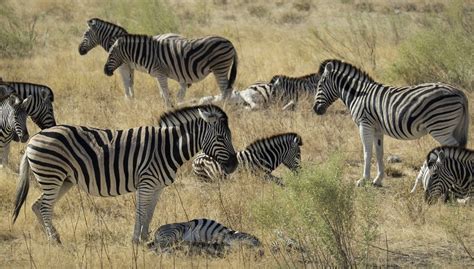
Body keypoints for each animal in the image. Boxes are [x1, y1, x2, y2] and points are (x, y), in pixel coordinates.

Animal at [12, 104, 237, 243]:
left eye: (230, 136)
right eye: (220, 137)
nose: (234, 165)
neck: (167, 148)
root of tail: (34, 139)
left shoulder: (157, 187)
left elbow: (149, 212)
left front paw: (145, 237)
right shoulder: (146, 182)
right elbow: (141, 211)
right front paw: (136, 240)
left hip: (63, 180)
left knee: (37, 205)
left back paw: (53, 237)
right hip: (52, 176)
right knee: (44, 207)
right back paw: (54, 239)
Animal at [103, 34, 237, 107]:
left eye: (110, 54)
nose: (105, 71)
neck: (147, 54)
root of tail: (230, 43)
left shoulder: (160, 73)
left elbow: (165, 92)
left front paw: (168, 107)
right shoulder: (158, 75)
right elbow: (163, 93)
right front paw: (167, 106)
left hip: (219, 67)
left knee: (225, 90)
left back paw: (225, 107)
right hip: (221, 68)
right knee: (228, 89)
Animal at [312, 58, 470, 186]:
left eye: (319, 86)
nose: (315, 109)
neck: (358, 94)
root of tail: (459, 92)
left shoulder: (365, 125)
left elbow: (367, 152)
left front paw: (363, 180)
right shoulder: (377, 129)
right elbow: (379, 152)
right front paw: (378, 179)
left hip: (440, 127)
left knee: (454, 147)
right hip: (450, 127)